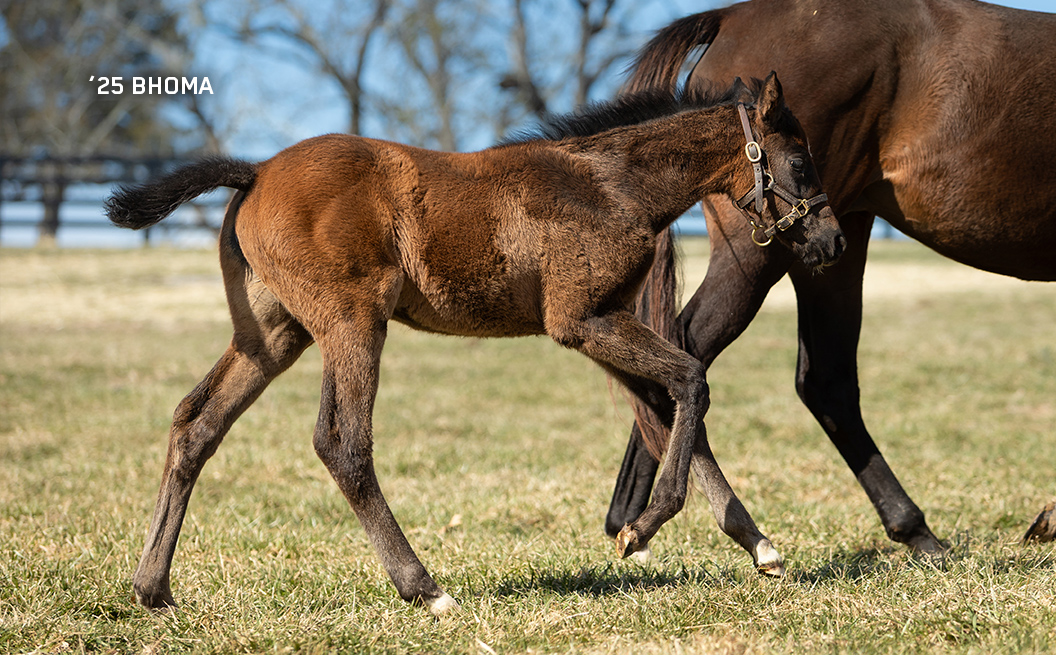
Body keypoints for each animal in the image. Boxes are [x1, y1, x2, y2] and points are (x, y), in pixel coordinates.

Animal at [102, 72, 836, 612]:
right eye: (800, 162)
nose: (833, 241)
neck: (609, 185)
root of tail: (254, 171)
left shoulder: (605, 319)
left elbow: (665, 410)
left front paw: (757, 544)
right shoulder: (581, 320)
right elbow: (690, 381)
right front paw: (644, 528)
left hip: (275, 333)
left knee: (197, 422)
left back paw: (152, 587)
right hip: (351, 322)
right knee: (342, 445)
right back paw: (424, 588)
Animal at [608, 0, 1056, 557]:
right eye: (799, 162)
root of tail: (731, 15)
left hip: (830, 249)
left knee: (824, 381)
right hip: (765, 257)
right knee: (684, 353)